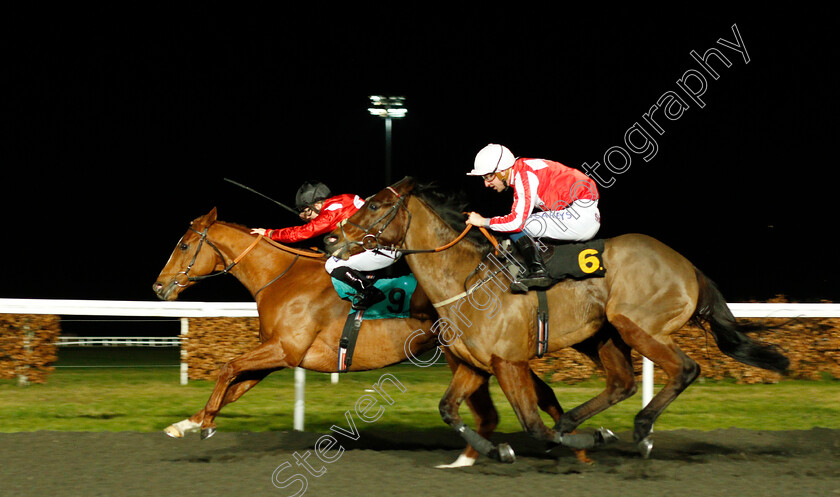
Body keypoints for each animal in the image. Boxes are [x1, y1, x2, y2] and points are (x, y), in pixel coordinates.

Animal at [153, 208, 584, 464]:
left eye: (185, 245)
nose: (158, 287)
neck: (282, 278)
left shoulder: (285, 350)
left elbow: (227, 368)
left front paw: (205, 424)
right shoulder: (276, 355)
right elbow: (234, 384)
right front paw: (188, 423)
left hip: (471, 353)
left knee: (497, 409)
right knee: (529, 397)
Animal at [324, 176, 792, 460]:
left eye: (376, 206)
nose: (332, 237)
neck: (466, 281)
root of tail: (687, 265)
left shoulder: (509, 362)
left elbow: (533, 425)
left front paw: (583, 439)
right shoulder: (476, 366)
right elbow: (448, 410)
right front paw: (498, 450)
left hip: (636, 325)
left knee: (686, 369)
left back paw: (640, 429)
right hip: (603, 336)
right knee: (622, 383)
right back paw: (579, 422)